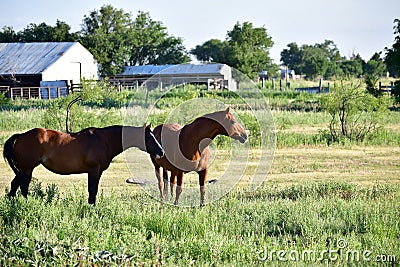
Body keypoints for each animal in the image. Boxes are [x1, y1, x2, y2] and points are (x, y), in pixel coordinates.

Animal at [3, 125, 164, 205]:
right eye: (149, 136)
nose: (161, 151)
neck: (104, 140)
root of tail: (20, 136)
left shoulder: (96, 172)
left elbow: (93, 190)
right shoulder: (94, 170)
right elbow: (92, 190)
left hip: (24, 170)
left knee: (16, 185)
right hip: (27, 169)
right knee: (21, 186)